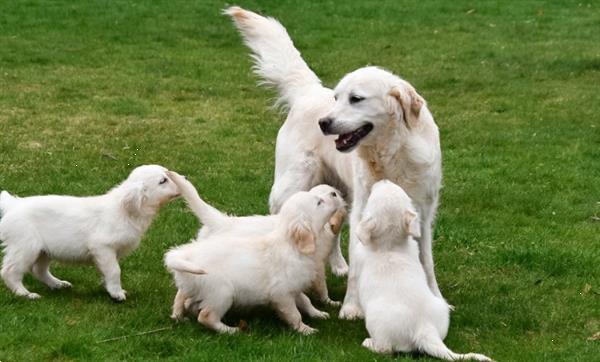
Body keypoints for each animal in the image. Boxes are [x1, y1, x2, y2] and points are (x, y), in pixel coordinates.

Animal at [0, 164, 179, 300]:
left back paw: (58, 284)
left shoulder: (107, 253)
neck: (125, 210)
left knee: (39, 270)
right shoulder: (102, 246)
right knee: (9, 271)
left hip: (44, 250)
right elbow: (115, 270)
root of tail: (14, 204)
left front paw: (109, 288)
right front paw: (117, 293)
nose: (182, 180)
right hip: (25, 247)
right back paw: (25, 294)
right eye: (163, 181)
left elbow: (107, 271)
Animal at [166, 171, 346, 316]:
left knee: (183, 290)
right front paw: (329, 302)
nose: (336, 192)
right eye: (321, 200)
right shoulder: (316, 265)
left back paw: (178, 313)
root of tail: (222, 222)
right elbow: (321, 286)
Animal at [227, 5, 442, 316]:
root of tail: (309, 93)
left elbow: (427, 261)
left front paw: (436, 296)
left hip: (338, 195)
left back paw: (339, 265)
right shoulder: (365, 207)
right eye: (337, 98)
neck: (391, 152)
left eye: (356, 99)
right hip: (291, 188)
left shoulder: (423, 211)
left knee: (335, 228)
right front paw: (351, 307)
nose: (324, 123)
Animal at [356, 180, 492, 360]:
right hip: (441, 310)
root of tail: (426, 329)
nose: (384, 180)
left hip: (378, 324)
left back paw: (369, 343)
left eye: (373, 196)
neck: (391, 245)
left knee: (385, 349)